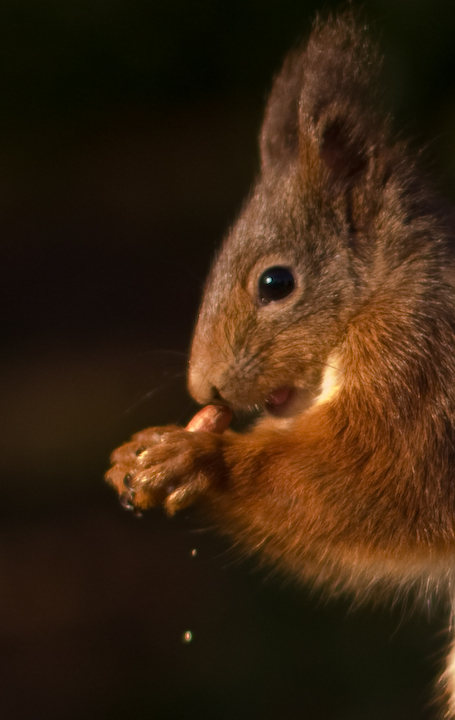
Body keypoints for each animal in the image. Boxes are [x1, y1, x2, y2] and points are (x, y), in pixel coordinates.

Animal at [107, 14, 455, 716]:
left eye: (276, 283)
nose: (203, 387)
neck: (386, 288)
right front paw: (137, 456)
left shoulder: (420, 371)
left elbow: (379, 483)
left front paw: (195, 459)